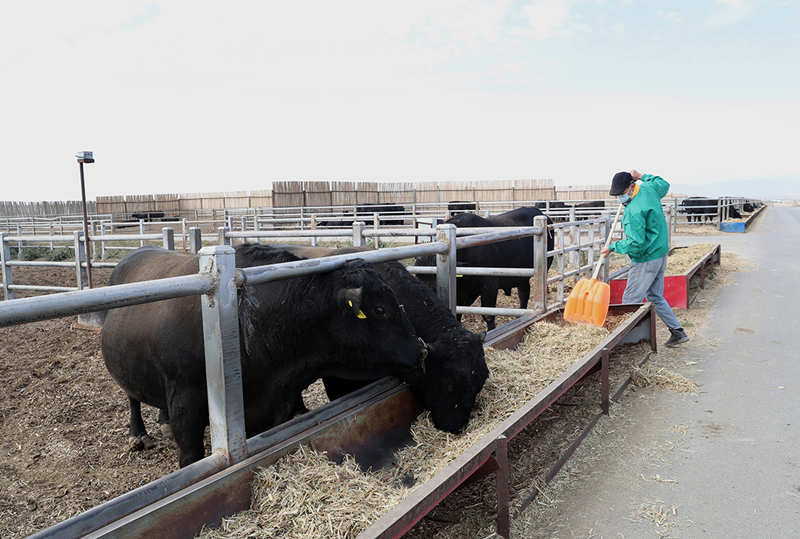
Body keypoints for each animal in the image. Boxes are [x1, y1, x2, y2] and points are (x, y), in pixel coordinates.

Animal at [102, 247, 428, 466]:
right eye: (381, 309)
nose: (421, 348)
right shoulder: (186, 401)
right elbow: (191, 457)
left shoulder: (274, 406)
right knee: (132, 397)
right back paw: (138, 433)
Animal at [416, 208, 552, 332]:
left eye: (434, 288)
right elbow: (458, 314)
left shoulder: (489, 285)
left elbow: (488, 315)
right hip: (521, 277)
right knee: (523, 293)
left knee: (524, 296)